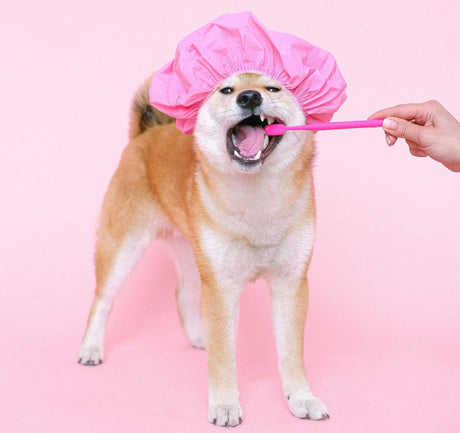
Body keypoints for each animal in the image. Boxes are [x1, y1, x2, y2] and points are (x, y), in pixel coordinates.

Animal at [80, 73, 330, 426]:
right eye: (226, 89)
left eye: (273, 88)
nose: (249, 97)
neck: (258, 206)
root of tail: (145, 135)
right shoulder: (222, 286)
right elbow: (223, 355)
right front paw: (225, 405)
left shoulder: (290, 284)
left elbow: (291, 354)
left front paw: (302, 399)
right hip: (124, 247)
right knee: (102, 299)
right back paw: (91, 348)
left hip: (193, 256)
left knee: (181, 293)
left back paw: (200, 337)